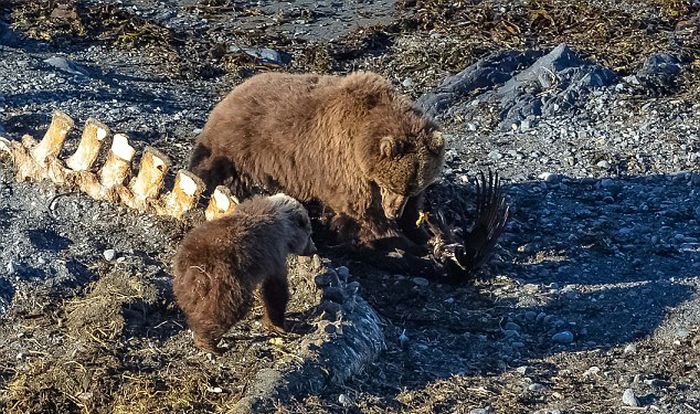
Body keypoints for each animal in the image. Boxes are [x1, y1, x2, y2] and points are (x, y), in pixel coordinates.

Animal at [172, 193, 318, 352]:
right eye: (309, 234)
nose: (314, 249)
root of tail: (193, 267)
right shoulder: (274, 251)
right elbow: (275, 290)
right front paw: (278, 325)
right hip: (225, 281)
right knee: (226, 310)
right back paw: (208, 342)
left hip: (185, 287)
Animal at [189, 72, 446, 249]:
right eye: (389, 185)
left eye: (412, 188)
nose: (394, 212)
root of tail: (233, 92)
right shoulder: (343, 163)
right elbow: (361, 212)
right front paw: (400, 241)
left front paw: (421, 232)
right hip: (238, 144)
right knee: (215, 167)